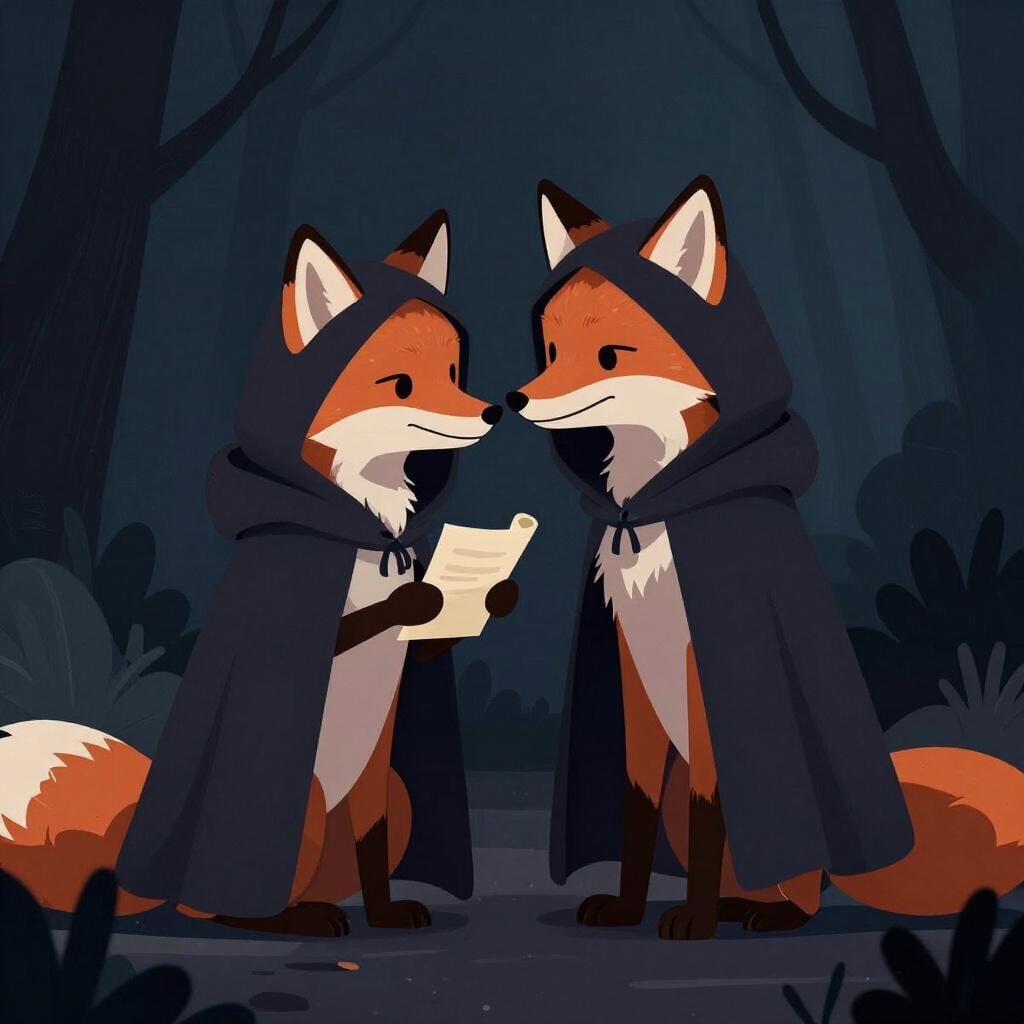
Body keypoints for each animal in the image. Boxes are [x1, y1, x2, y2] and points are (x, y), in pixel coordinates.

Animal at [0, 212, 516, 934]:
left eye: (452, 368)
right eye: (402, 384)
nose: (493, 411)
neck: (367, 528)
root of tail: (140, 870)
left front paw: (494, 593)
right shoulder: (283, 595)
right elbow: (367, 618)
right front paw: (418, 599)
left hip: (386, 790)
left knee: (345, 863)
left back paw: (346, 909)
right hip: (299, 805)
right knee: (216, 909)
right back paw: (286, 919)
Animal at [508, 176, 1024, 937]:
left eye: (609, 356)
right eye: (547, 350)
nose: (514, 399)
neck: (651, 506)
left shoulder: (714, 673)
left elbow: (710, 813)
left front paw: (690, 924)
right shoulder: (631, 672)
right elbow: (634, 810)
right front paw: (627, 907)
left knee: (796, 884)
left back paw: (760, 914)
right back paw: (730, 904)